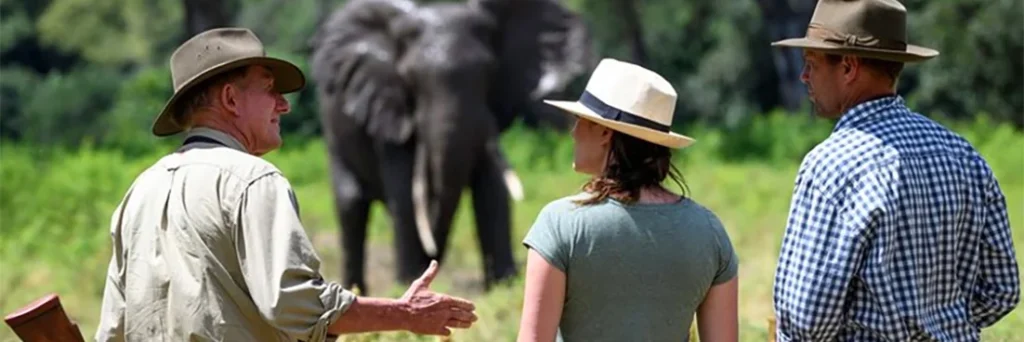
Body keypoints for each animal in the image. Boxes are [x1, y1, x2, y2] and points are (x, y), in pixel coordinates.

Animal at [305, 0, 593, 294]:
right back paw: (355, 289)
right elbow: (405, 193)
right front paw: (406, 281)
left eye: (489, 72)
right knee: (351, 205)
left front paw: (502, 285)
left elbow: (492, 189)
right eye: (410, 79)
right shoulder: (390, 110)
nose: (432, 261)